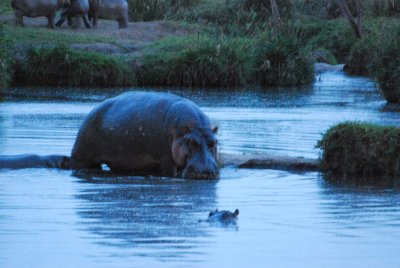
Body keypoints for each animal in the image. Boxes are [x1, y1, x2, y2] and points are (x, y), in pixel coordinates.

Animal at [67, 92, 220, 180]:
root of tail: (92, 110)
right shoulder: (166, 159)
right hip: (81, 156)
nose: (206, 171)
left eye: (214, 142)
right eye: (191, 141)